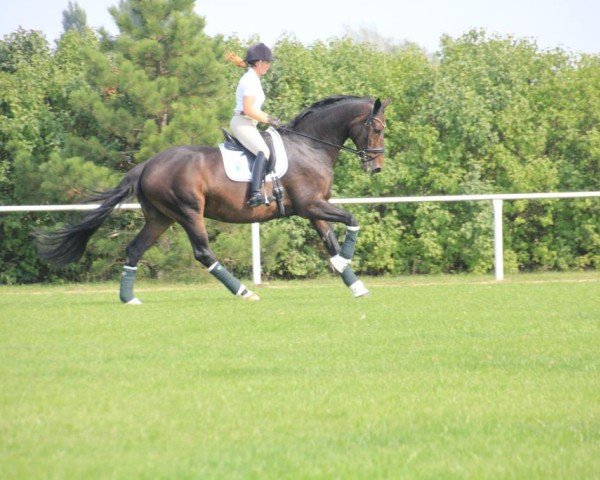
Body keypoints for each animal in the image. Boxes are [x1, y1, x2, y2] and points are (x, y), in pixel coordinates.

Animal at [38, 95, 394, 302]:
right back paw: (244, 292)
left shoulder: (314, 208)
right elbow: (352, 220)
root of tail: (147, 165)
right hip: (188, 212)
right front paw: (345, 261)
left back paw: (129, 299)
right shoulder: (310, 205)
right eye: (376, 129)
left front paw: (355, 284)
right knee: (203, 252)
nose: (375, 166)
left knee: (135, 249)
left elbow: (331, 240)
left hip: (160, 217)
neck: (310, 146)